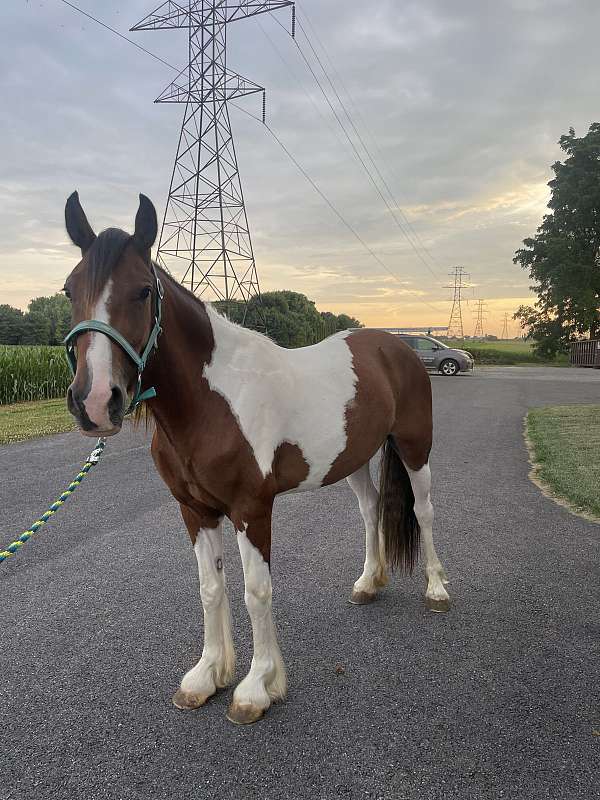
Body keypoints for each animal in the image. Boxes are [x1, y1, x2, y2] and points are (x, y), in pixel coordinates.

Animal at [63, 192, 448, 724]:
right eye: (68, 291)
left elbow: (256, 591)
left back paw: (437, 591)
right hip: (353, 459)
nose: (96, 401)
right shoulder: (196, 510)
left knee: (424, 511)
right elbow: (211, 589)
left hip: (414, 446)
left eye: (142, 291)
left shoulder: (252, 508)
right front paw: (206, 676)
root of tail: (397, 344)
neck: (213, 401)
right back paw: (369, 583)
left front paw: (256, 687)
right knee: (371, 510)